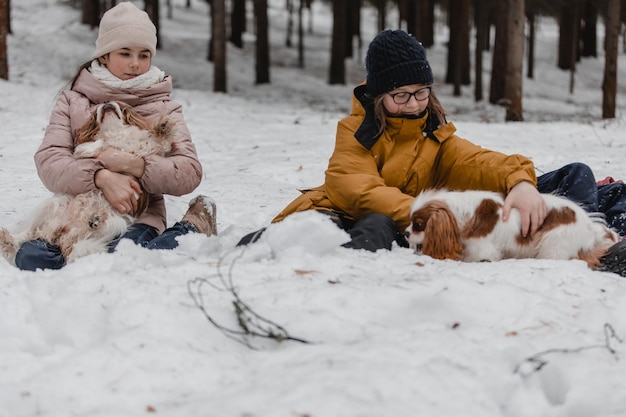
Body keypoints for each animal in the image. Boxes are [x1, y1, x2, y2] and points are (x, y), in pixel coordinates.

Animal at [0, 100, 174, 264]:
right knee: (31, 232)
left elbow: (160, 143)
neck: (115, 131)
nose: (106, 101)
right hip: (54, 204)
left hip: (117, 224)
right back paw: (9, 239)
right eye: (96, 111)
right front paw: (89, 149)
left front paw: (163, 126)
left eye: (119, 105)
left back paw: (95, 220)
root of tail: (64, 233)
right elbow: (97, 144)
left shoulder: (145, 151)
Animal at [408, 188, 616, 266]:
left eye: (418, 225)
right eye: (410, 222)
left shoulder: (482, 249)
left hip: (553, 245)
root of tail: (591, 227)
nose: (407, 232)